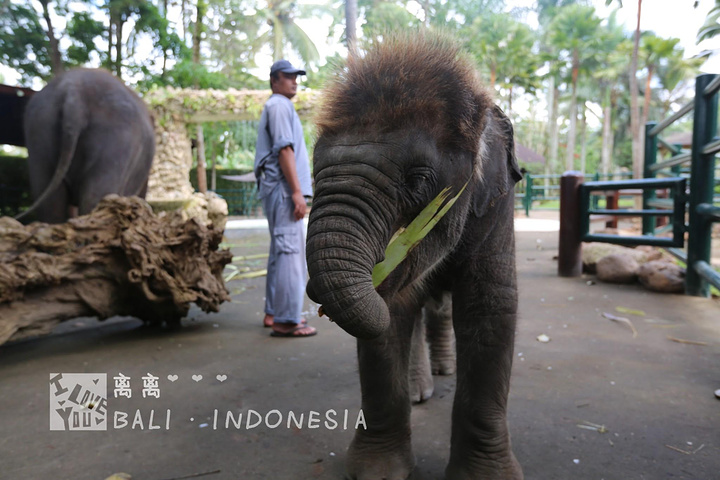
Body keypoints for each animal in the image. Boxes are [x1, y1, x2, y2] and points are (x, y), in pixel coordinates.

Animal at [304, 31, 524, 478]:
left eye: (419, 180)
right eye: (313, 176)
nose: (316, 299)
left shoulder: (496, 205)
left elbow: (490, 304)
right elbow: (395, 309)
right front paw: (376, 472)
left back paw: (443, 370)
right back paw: (421, 386)